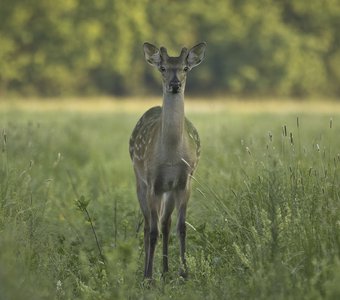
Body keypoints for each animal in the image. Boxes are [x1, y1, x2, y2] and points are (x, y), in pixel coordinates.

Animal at [129, 41, 206, 278]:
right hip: (140, 181)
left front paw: (184, 273)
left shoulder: (184, 181)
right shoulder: (153, 182)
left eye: (185, 68)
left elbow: (181, 227)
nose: (174, 84)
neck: (171, 156)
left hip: (169, 190)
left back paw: (165, 270)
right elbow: (152, 231)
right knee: (148, 227)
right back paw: (150, 273)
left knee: (165, 223)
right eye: (163, 68)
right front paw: (148, 277)